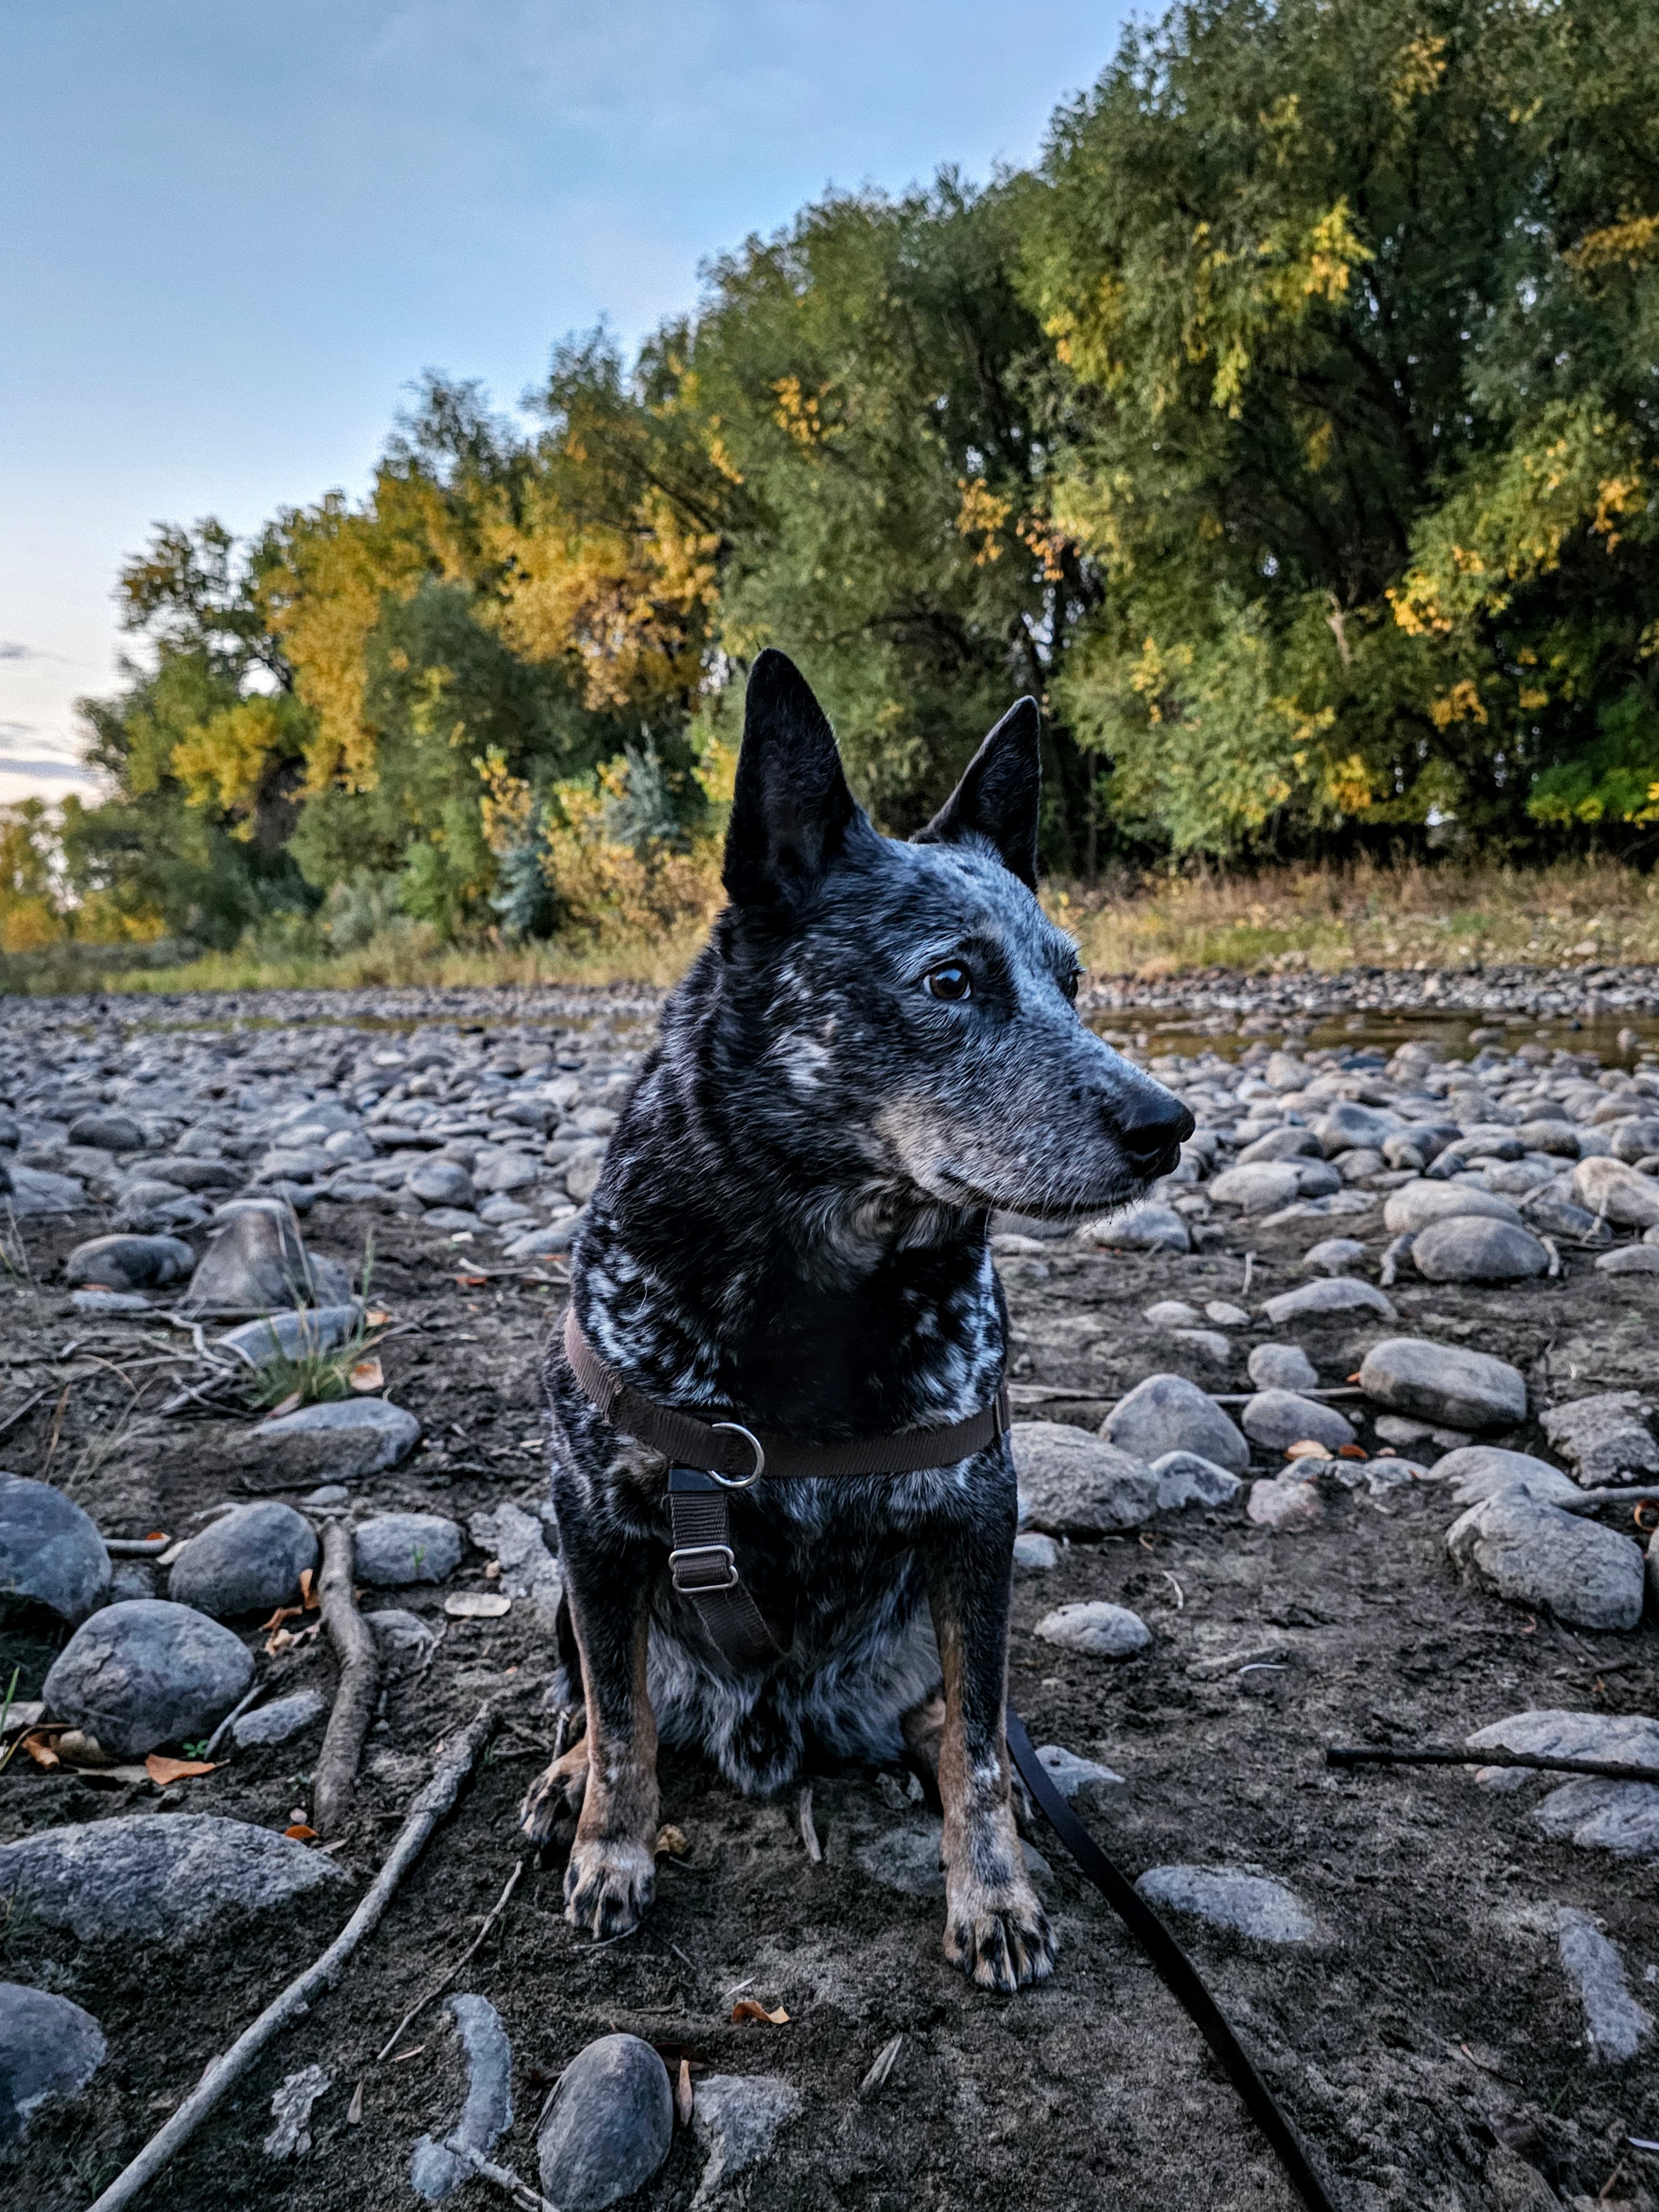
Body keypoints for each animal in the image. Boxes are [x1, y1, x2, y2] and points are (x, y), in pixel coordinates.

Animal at [521, 649, 1192, 1991]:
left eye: (1072, 981)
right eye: (951, 980)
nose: (1167, 1124)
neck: (816, 1283)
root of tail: (772, 1725)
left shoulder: (978, 1513)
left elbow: (980, 1744)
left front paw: (992, 1891)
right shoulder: (592, 1515)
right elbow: (620, 1722)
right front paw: (611, 1848)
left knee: (957, 1712)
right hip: (560, 1580)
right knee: (605, 1692)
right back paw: (567, 1773)